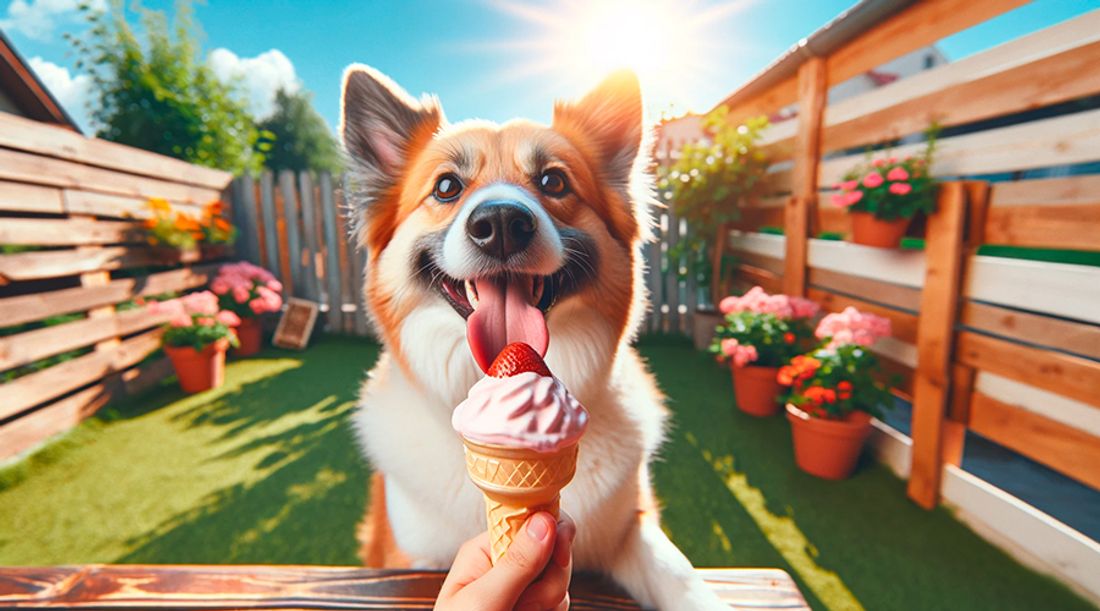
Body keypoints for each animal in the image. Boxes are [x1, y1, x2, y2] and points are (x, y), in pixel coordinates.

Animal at [338, 64, 726, 607]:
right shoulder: (409, 556)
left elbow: (679, 574)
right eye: (446, 187)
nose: (501, 222)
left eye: (553, 180)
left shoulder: (631, 526)